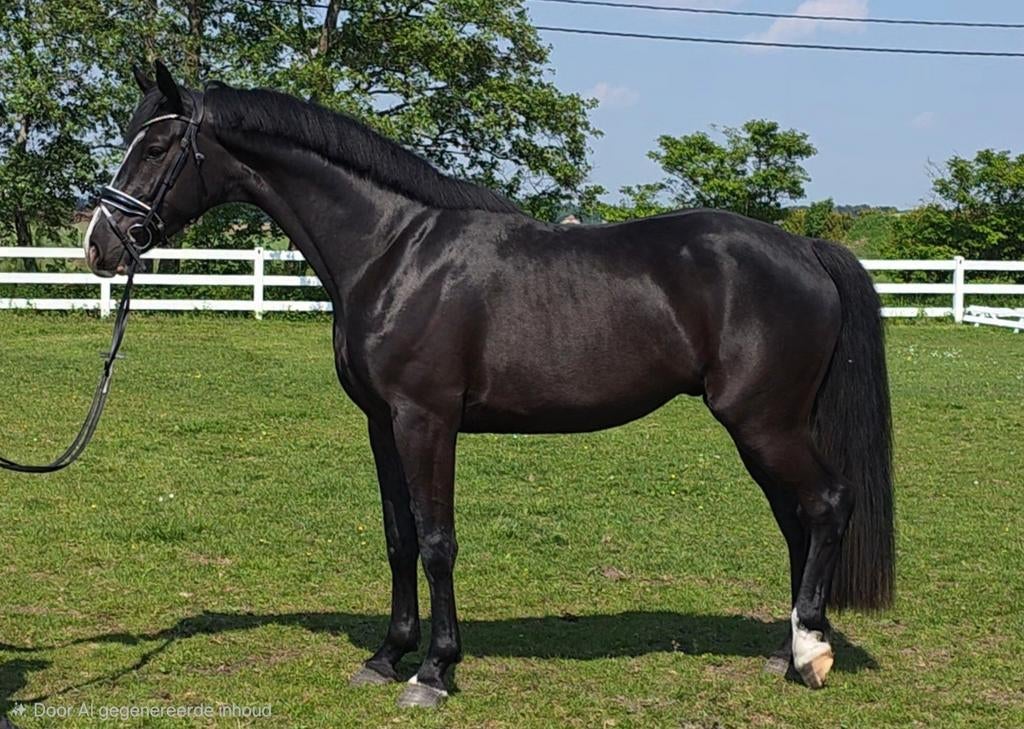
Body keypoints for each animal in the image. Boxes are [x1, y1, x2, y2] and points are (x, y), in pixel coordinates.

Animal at [83, 62, 894, 708]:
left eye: (156, 145)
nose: (100, 245)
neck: (393, 252)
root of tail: (806, 248)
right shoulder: (382, 422)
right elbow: (399, 537)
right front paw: (387, 655)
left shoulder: (426, 419)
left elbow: (437, 540)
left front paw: (434, 671)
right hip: (766, 428)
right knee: (797, 521)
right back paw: (787, 651)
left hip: (763, 421)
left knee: (826, 504)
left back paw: (812, 654)